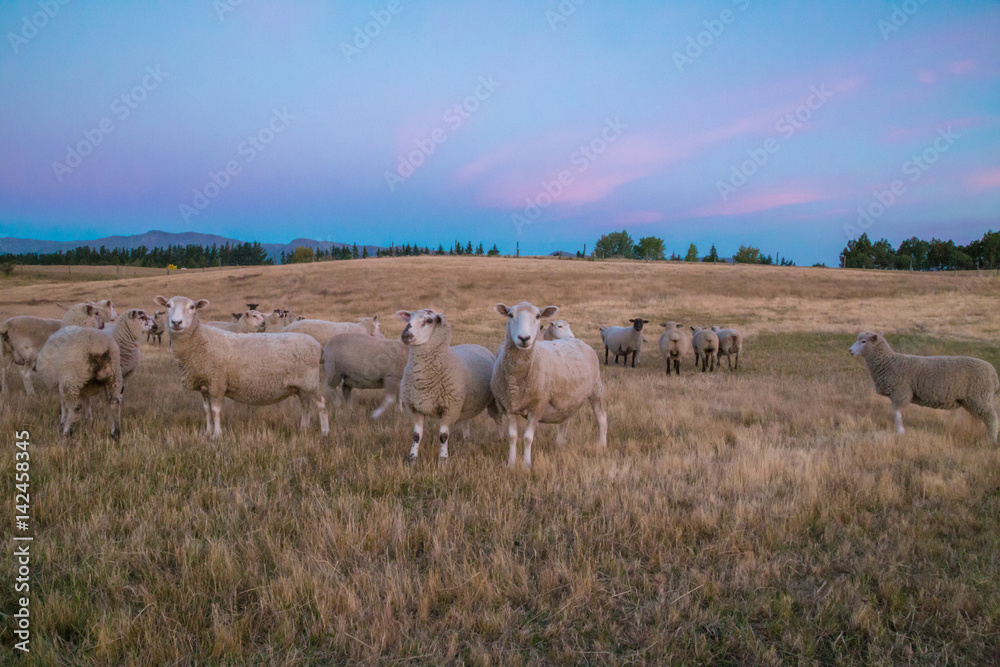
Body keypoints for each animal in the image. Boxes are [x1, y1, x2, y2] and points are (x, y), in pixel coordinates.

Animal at [154, 295, 329, 438]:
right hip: (301, 385)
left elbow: (215, 410)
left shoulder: (217, 383)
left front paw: (216, 435)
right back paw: (303, 428)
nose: (176, 323)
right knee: (305, 405)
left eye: (192, 307)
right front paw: (207, 433)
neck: (201, 340)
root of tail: (317, 346)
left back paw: (325, 432)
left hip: (310, 381)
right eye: (168, 305)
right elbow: (207, 411)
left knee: (321, 403)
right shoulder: (205, 386)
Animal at [395, 308, 498, 464]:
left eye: (429, 320)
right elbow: (416, 435)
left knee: (499, 420)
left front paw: (443, 460)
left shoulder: (449, 409)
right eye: (410, 317)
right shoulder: (415, 408)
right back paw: (466, 439)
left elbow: (443, 436)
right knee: (466, 420)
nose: (405, 335)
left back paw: (501, 437)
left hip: (493, 401)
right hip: (466, 403)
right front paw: (412, 459)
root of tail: (475, 345)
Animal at [492, 302, 607, 467]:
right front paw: (511, 464)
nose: (524, 338)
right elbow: (512, 437)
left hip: (596, 389)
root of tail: (578, 341)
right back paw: (560, 444)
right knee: (565, 421)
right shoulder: (508, 406)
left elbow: (527, 438)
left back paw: (602, 445)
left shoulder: (537, 407)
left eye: (538, 316)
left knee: (602, 418)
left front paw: (526, 465)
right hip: (568, 397)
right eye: (510, 315)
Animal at [850, 331, 999, 444]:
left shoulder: (901, 392)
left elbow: (897, 414)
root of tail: (994, 374)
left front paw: (900, 432)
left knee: (992, 418)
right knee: (983, 417)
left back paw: (991, 440)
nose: (850, 350)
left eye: (863, 341)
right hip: (971, 400)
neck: (889, 362)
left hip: (980, 396)